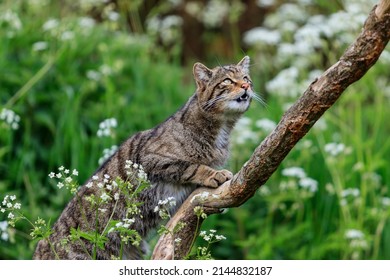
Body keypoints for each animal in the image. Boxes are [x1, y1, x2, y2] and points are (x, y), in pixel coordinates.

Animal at [33, 55, 256, 260]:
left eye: (246, 78)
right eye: (227, 81)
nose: (246, 85)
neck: (221, 131)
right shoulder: (151, 159)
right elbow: (190, 166)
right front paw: (213, 174)